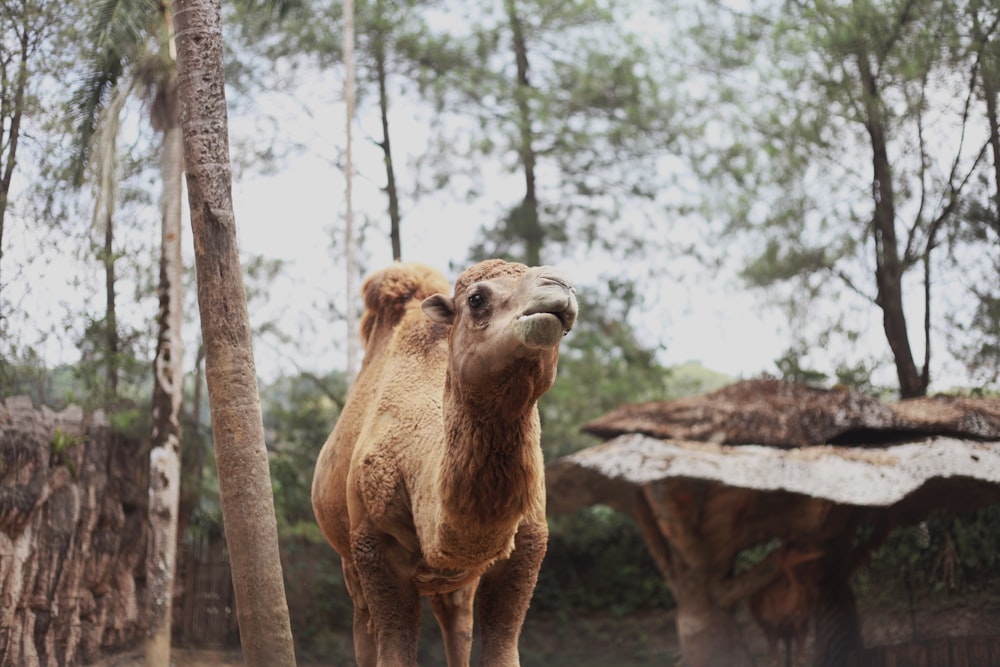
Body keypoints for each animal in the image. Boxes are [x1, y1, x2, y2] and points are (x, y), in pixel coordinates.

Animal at [312, 258, 580, 664]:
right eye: (476, 299)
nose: (560, 284)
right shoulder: (373, 547)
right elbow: (394, 650)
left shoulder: (527, 544)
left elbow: (502, 649)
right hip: (349, 560)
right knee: (363, 625)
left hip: (453, 582)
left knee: (457, 623)